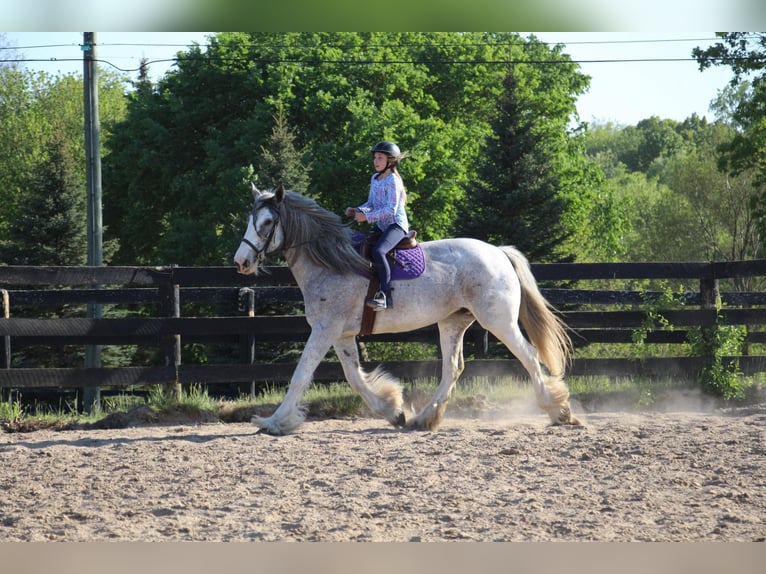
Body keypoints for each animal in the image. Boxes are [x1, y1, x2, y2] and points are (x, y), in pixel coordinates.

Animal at [234, 184, 584, 436]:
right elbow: (354, 377)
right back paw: (424, 419)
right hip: (453, 323)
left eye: (267, 222)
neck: (331, 263)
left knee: (529, 356)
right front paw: (392, 410)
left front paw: (273, 422)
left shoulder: (324, 330)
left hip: (498, 321)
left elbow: (301, 376)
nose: (242, 262)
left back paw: (559, 411)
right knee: (453, 368)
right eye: (250, 221)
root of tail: (498, 252)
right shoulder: (341, 334)